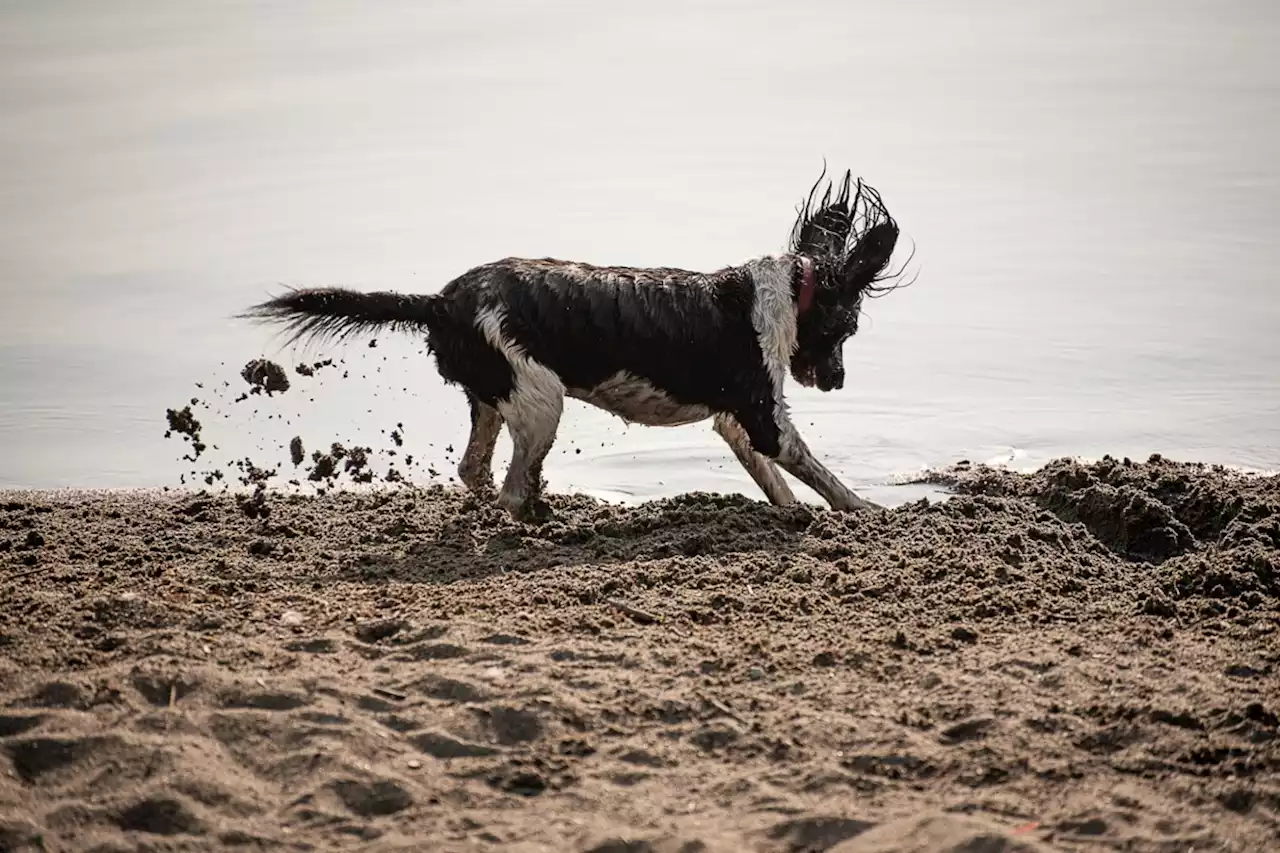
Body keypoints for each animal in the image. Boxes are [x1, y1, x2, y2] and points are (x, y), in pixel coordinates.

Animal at [240, 166, 901, 517]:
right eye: (848, 329)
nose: (838, 379)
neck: (784, 291)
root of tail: (443, 301)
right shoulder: (762, 412)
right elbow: (811, 465)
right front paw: (865, 510)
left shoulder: (735, 418)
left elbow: (774, 477)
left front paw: (795, 510)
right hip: (541, 399)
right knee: (509, 487)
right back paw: (535, 515)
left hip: (497, 396)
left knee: (476, 469)